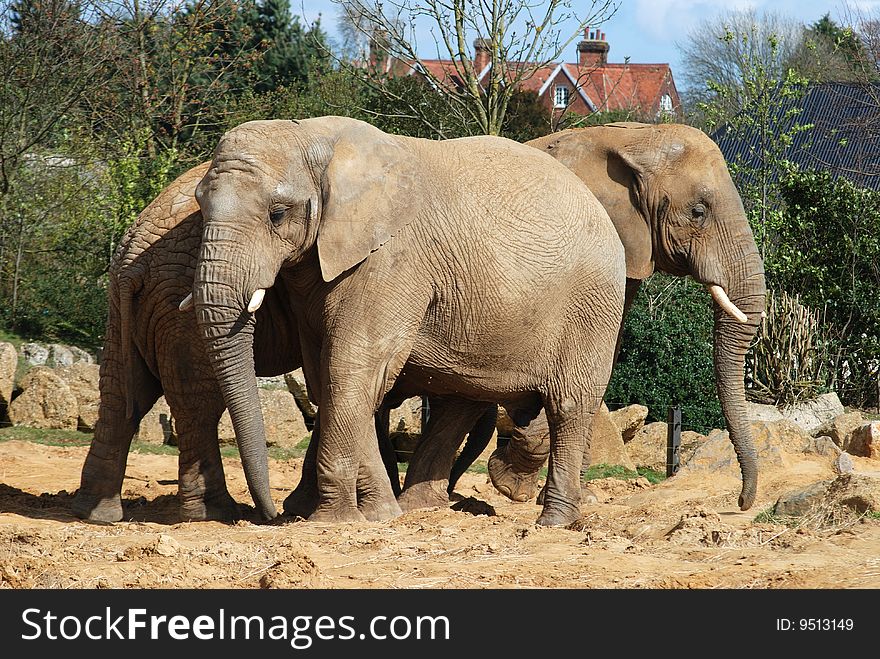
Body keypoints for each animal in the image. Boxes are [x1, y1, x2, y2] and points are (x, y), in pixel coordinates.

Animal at [191, 116, 624, 528]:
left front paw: (334, 520)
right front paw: (380, 514)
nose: (267, 515)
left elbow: (352, 367)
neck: (313, 137)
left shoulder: (391, 260)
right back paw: (424, 508)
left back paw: (553, 521)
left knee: (569, 406)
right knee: (463, 398)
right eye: (199, 203)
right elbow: (326, 374)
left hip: (593, 307)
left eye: (277, 214)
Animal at [438, 121, 764, 512]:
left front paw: (581, 497)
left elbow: (603, 353)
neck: (632, 139)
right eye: (698, 211)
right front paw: (510, 484)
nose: (741, 503)